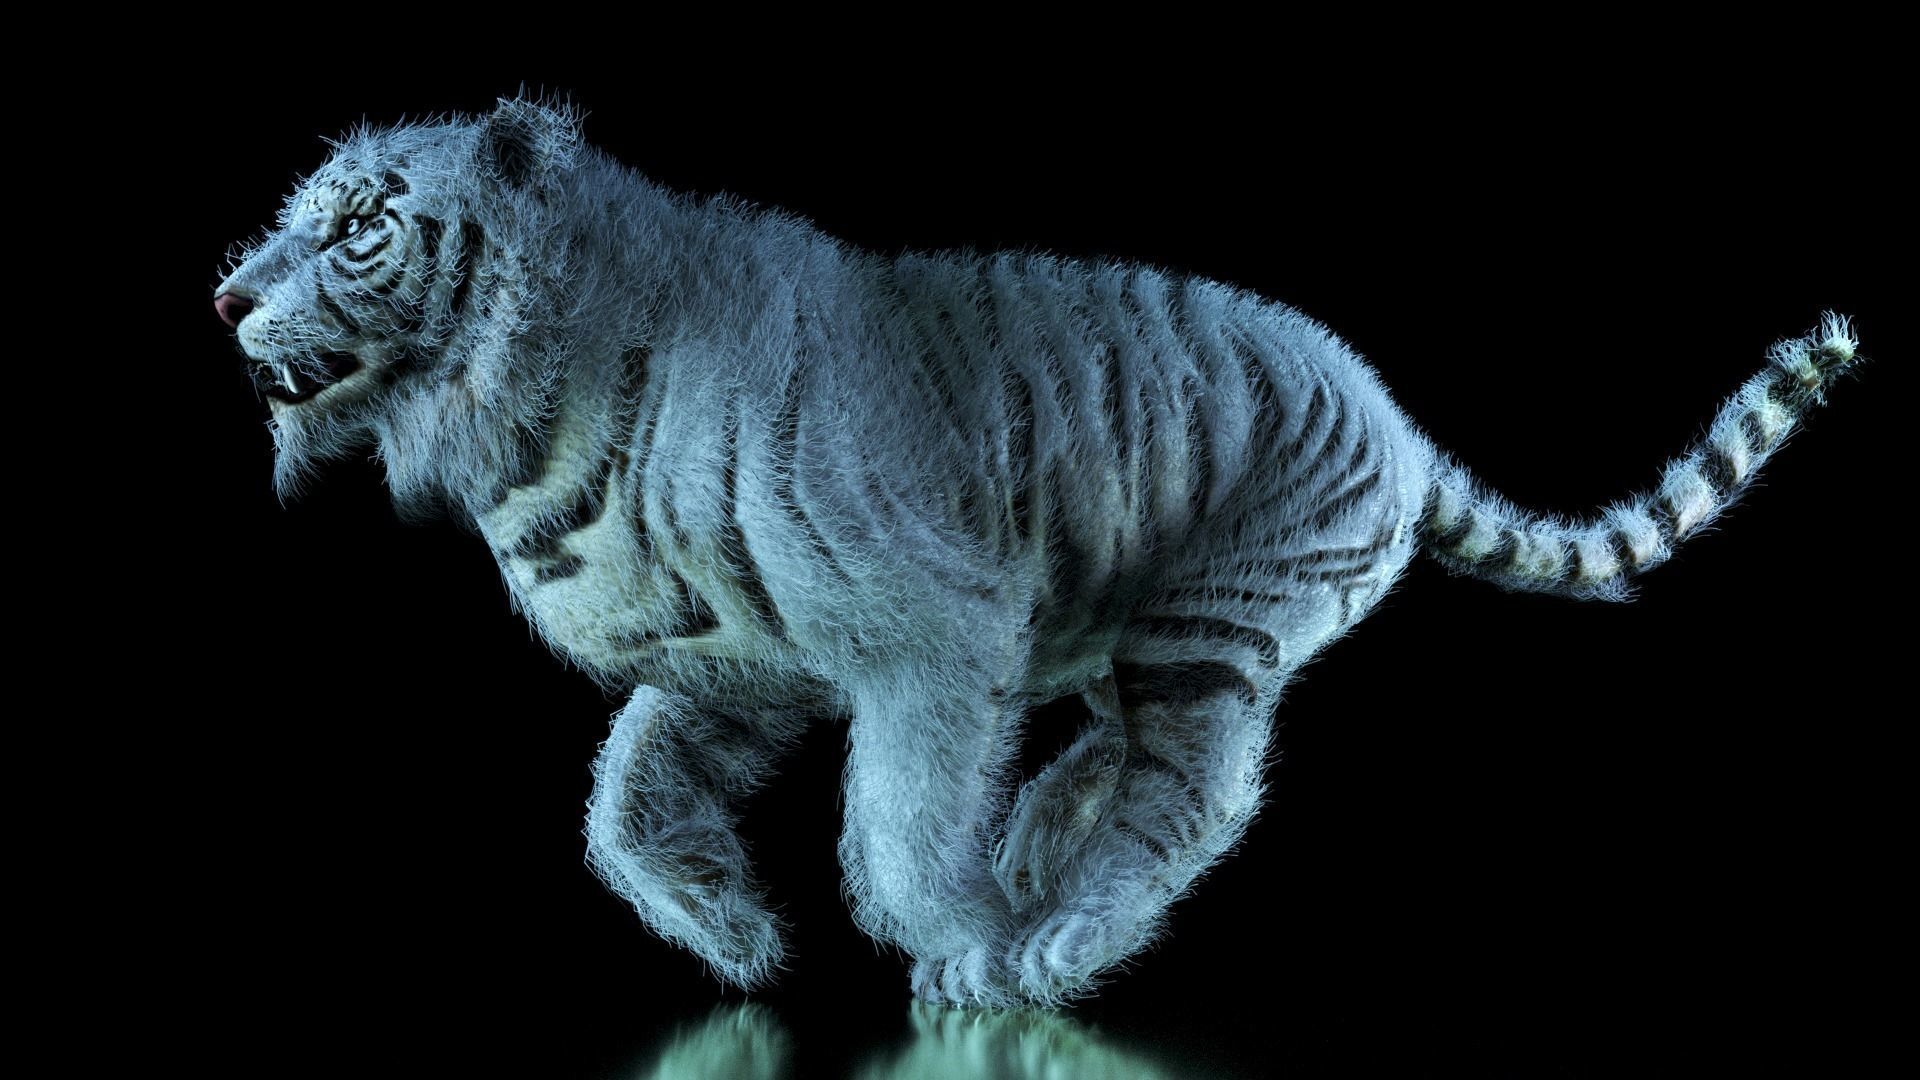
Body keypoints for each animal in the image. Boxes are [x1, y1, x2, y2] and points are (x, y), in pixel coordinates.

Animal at [212, 94, 1866, 1008]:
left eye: (358, 227)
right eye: (289, 219)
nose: (226, 296)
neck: (530, 412)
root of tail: (1396, 418)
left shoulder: (926, 638)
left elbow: (894, 820)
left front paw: (963, 956)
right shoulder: (739, 661)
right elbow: (620, 800)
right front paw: (733, 939)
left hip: (1212, 624)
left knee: (1192, 795)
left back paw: (1062, 936)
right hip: (1153, 633)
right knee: (1115, 751)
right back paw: (1038, 844)